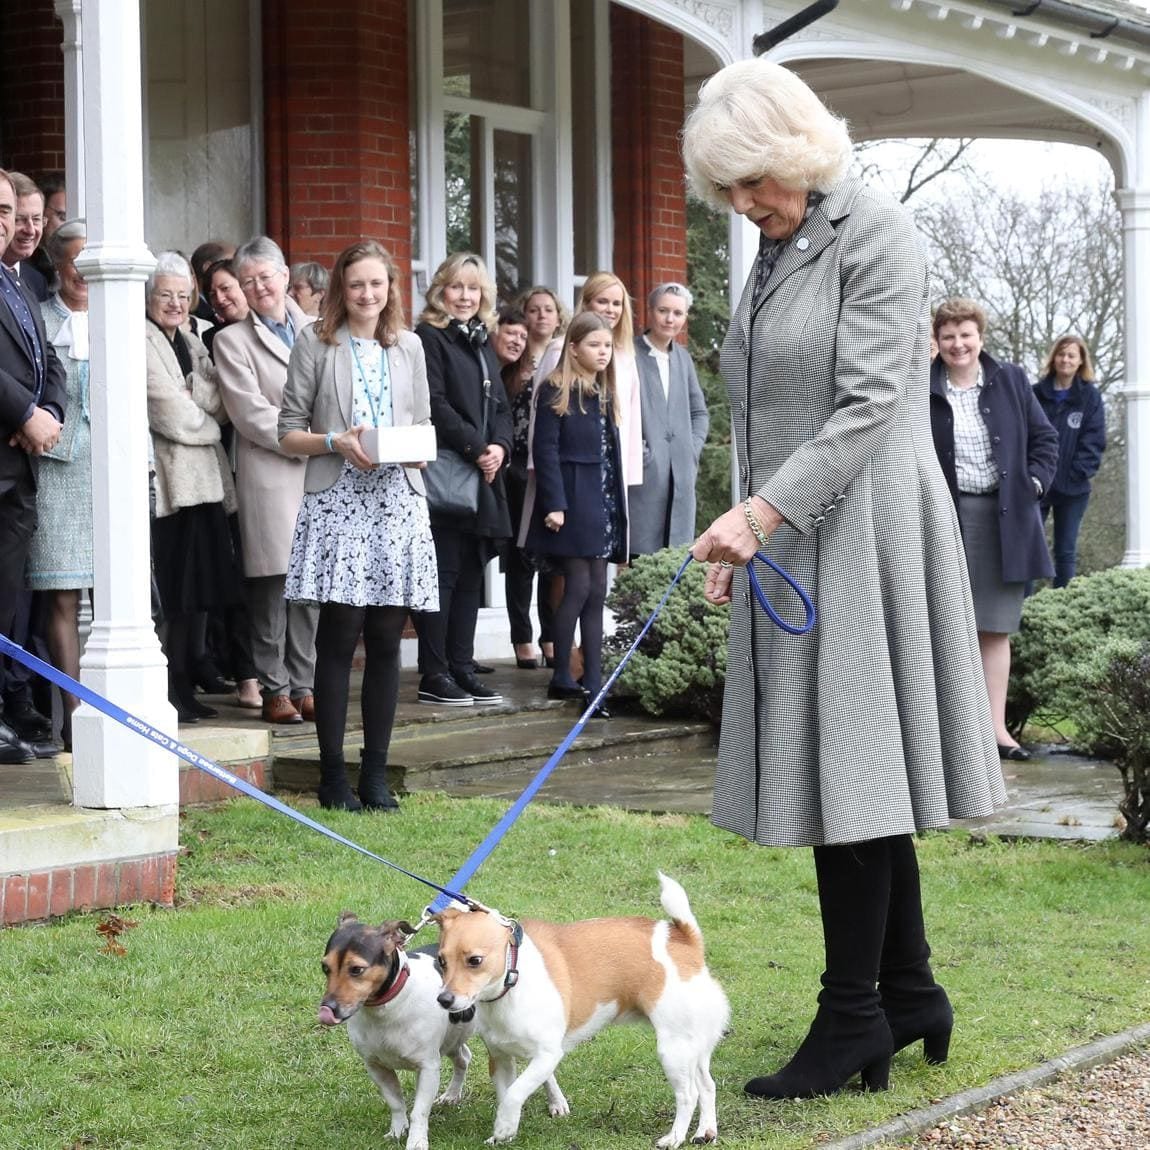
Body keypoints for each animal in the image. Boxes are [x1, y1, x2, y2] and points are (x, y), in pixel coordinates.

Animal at [317, 915, 473, 1150]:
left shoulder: (428, 1068)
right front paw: (398, 1131)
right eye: (325, 967)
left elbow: (419, 1111)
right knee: (463, 1057)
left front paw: (416, 1141)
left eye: (356, 969)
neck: (388, 1006)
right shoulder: (376, 1066)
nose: (328, 1008)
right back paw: (452, 1095)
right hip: (452, 1037)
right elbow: (395, 1102)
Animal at [432, 869, 726, 1140]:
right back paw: (705, 1131)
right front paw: (504, 1132)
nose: (444, 999)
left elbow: (515, 1093)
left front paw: (504, 1126)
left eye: (475, 961)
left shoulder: (547, 1055)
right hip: (692, 1046)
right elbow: (507, 1095)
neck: (513, 982)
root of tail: (685, 940)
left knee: (688, 1094)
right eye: (441, 961)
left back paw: (674, 1138)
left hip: (673, 1049)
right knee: (707, 1085)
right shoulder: (501, 1058)